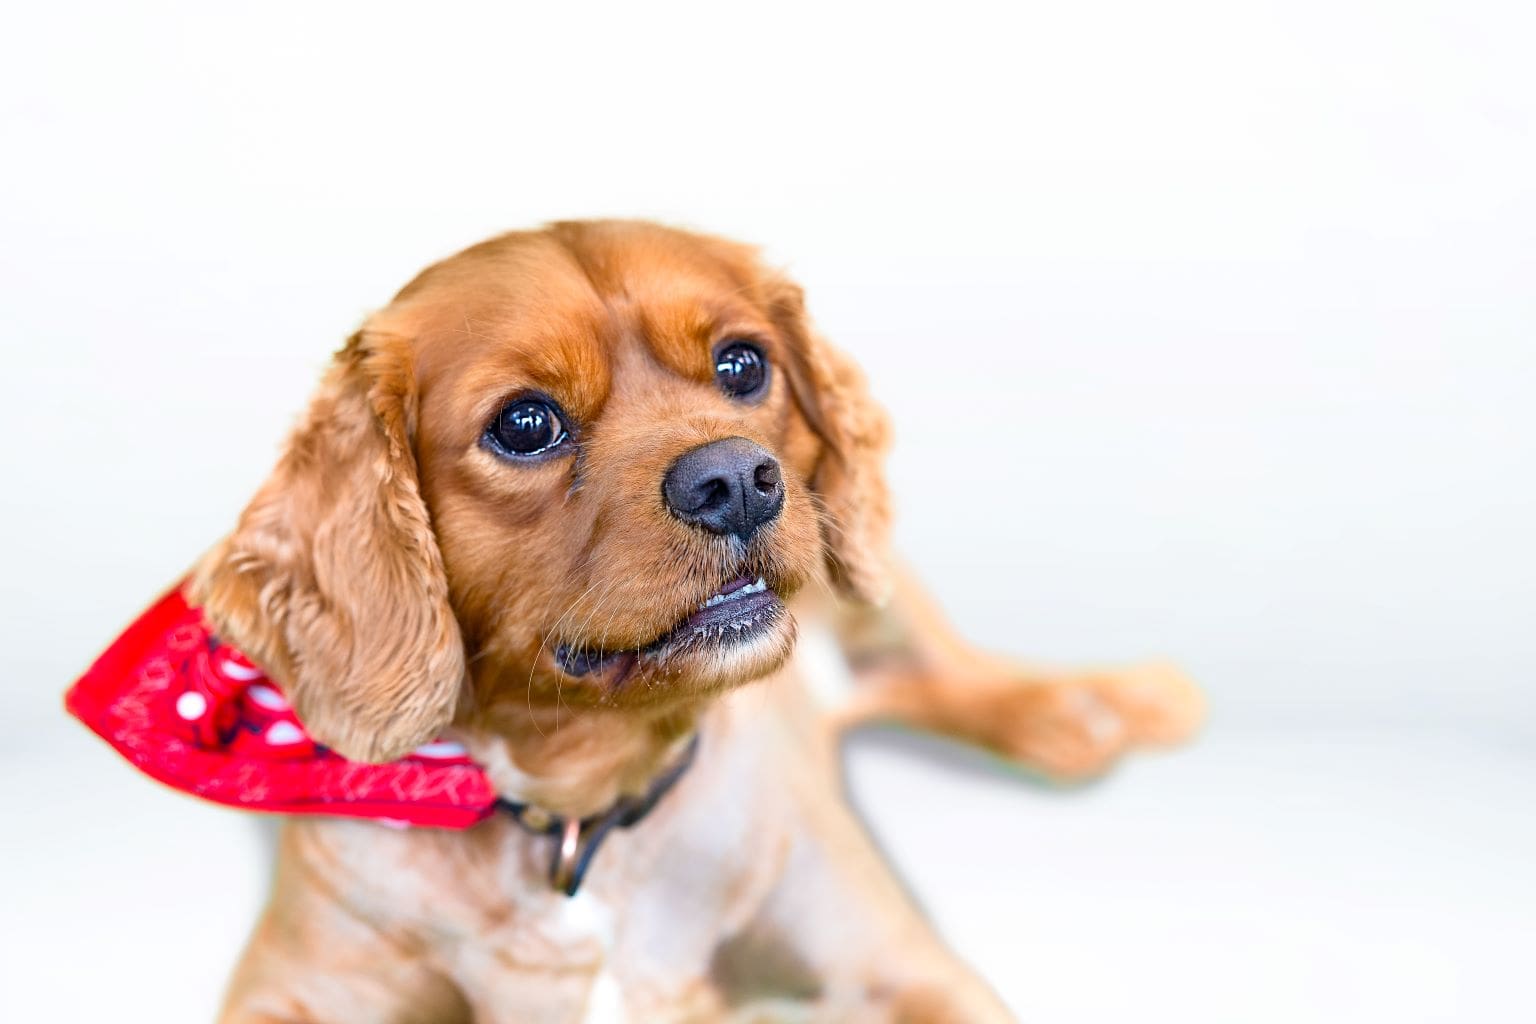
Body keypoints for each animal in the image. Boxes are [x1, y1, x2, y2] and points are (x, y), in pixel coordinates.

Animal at [105, 221, 1198, 1019]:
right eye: (526, 423)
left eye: (744, 365)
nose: (738, 480)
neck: (579, 815)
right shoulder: (295, 990)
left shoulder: (901, 967)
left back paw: (1098, 707)